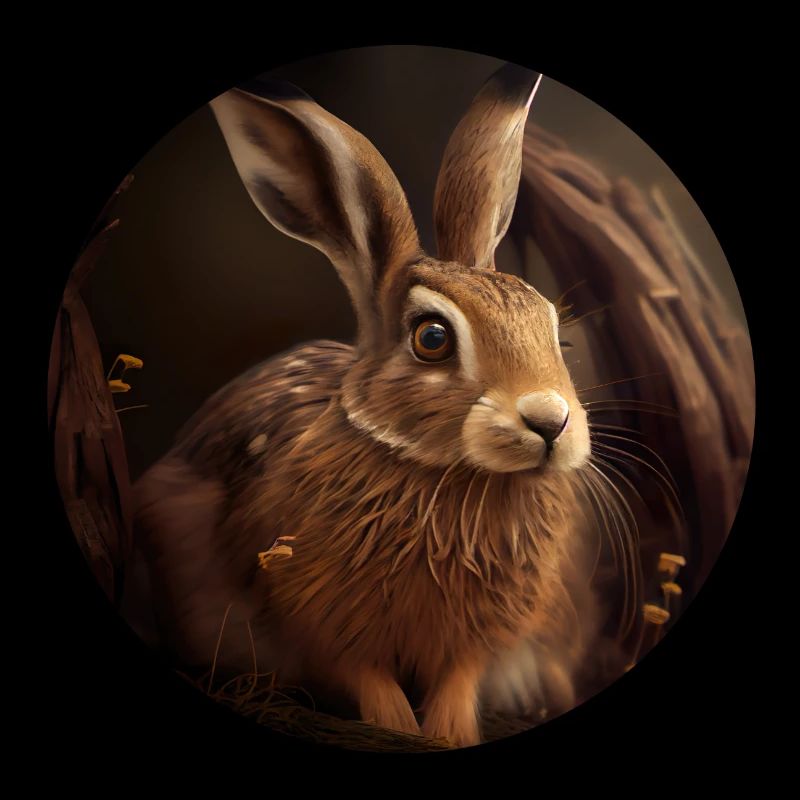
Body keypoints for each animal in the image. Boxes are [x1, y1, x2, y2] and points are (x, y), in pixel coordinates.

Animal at [132, 63, 600, 748]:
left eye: (555, 335)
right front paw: (400, 728)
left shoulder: (476, 640)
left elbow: (458, 679)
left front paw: (449, 732)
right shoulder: (313, 617)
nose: (550, 422)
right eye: (432, 339)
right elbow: (365, 679)